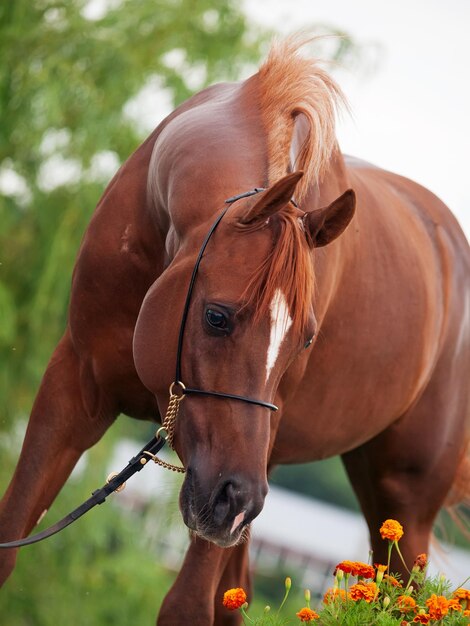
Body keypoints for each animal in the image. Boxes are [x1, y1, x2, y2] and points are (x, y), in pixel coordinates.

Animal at [0, 36, 470, 620]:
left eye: (305, 340)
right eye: (217, 316)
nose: (237, 503)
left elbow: (186, 608)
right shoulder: (76, 384)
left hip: (399, 500)